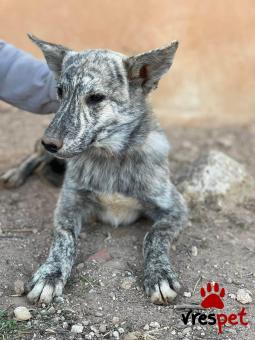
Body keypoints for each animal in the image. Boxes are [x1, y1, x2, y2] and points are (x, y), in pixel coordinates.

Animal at [23, 35, 187, 306]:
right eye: (60, 91)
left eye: (96, 98)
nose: (50, 143)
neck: (111, 158)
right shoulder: (68, 206)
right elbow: (64, 238)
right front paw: (50, 273)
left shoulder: (176, 208)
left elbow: (154, 236)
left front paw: (159, 273)